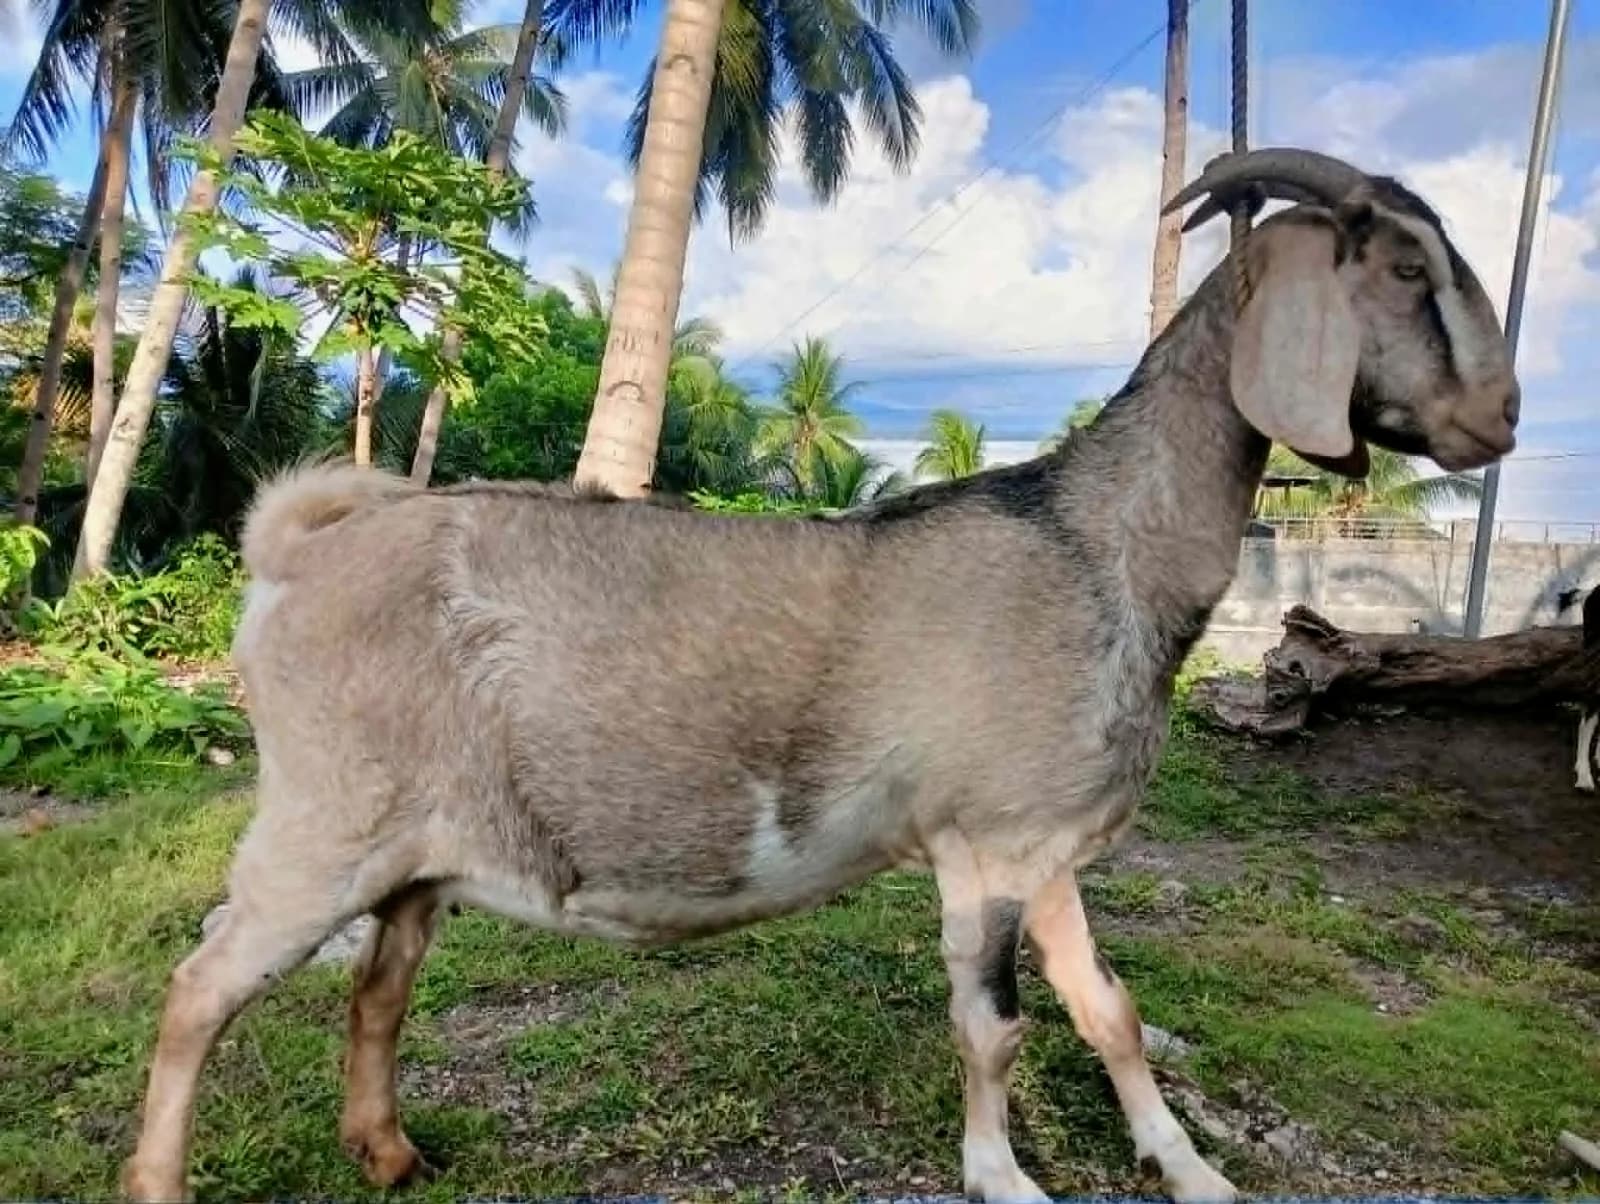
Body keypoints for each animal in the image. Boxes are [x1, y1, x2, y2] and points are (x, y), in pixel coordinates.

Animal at [122, 149, 1519, 1204]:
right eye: (1404, 268)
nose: (1501, 419)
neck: (1093, 545)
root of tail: (300, 550)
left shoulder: (1046, 842)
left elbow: (1109, 1011)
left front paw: (1191, 1171)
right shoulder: (983, 843)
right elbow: (995, 1024)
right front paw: (1002, 1178)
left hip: (413, 847)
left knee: (379, 983)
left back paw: (390, 1152)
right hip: (321, 817)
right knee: (197, 989)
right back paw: (165, 1179)